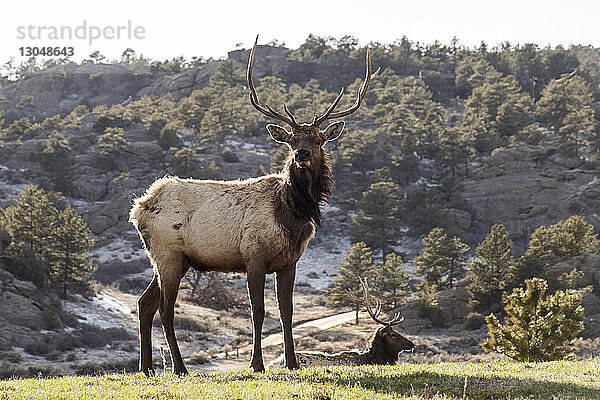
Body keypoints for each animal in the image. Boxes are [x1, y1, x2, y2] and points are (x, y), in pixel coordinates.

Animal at [130, 36, 380, 376]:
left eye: (318, 139)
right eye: (291, 140)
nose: (301, 154)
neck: (291, 215)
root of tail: (138, 209)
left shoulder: (289, 262)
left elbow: (287, 312)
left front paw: (292, 363)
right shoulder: (253, 256)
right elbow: (258, 311)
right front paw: (256, 364)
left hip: (173, 260)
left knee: (145, 303)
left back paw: (146, 368)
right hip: (168, 254)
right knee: (165, 310)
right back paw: (179, 368)